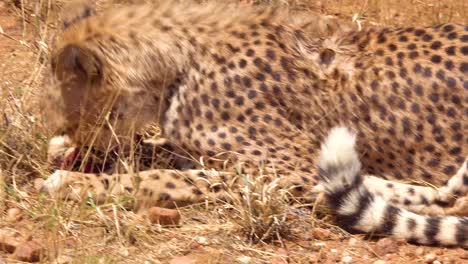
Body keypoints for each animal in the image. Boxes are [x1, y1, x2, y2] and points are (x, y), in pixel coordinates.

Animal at [42, 0, 466, 248]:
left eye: (71, 109)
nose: (78, 138)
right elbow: (157, 151)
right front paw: (65, 152)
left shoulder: (286, 171)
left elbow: (170, 176)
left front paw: (76, 182)